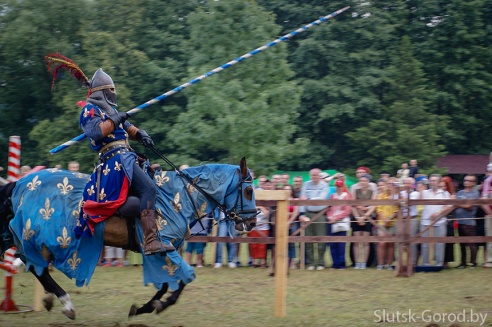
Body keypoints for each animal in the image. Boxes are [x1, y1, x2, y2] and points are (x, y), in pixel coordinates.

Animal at [0, 158, 256, 320]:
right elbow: (183, 279)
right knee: (37, 266)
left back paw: (50, 299)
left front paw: (146, 307)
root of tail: (22, 183)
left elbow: (170, 283)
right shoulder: (161, 248)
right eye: (248, 191)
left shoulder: (164, 251)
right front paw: (155, 306)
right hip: (44, 235)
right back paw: (66, 303)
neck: (179, 196)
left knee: (33, 264)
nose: (252, 222)